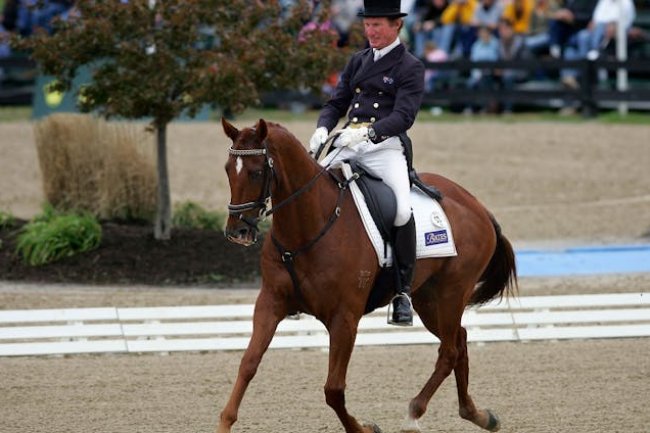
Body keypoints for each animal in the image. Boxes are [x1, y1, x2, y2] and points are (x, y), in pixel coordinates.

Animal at [218, 118, 517, 433]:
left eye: (256, 172)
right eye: (228, 169)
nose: (237, 231)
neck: (308, 226)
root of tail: (477, 206)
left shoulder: (345, 318)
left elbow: (333, 389)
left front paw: (363, 428)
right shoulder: (270, 302)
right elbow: (248, 363)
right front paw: (225, 422)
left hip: (452, 293)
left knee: (449, 350)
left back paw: (414, 413)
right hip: (428, 300)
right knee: (459, 340)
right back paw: (477, 414)